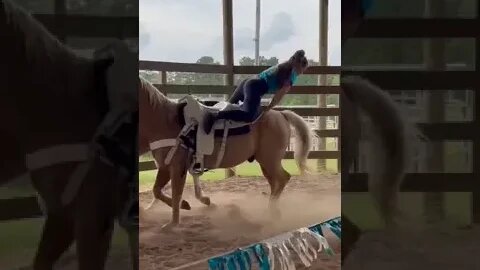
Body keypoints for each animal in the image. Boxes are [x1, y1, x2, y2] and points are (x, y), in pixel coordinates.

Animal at [139, 77, 316, 229]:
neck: (167, 122)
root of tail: (280, 114)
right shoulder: (165, 167)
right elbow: (157, 190)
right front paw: (187, 205)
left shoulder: (178, 168)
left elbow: (175, 195)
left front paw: (173, 223)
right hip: (266, 162)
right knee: (275, 182)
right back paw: (272, 211)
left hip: (270, 160)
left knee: (283, 178)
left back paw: (271, 211)